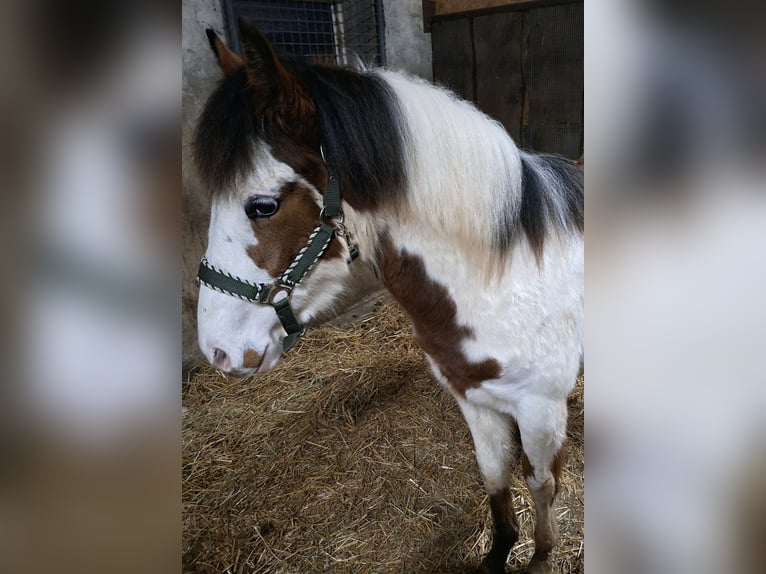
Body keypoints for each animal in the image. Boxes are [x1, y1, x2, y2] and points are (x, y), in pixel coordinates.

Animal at [194, 19, 583, 574]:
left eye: (263, 205)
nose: (217, 351)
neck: (504, 280)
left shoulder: (541, 411)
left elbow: (542, 483)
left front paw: (540, 556)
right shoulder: (473, 398)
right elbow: (493, 477)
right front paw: (498, 551)